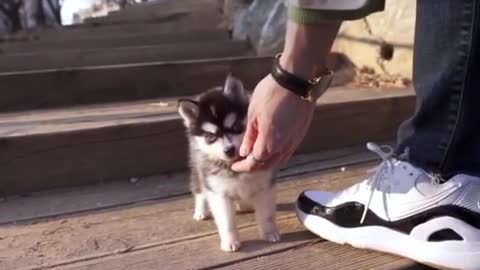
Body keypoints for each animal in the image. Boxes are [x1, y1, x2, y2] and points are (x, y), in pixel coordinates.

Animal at [178, 75, 280, 252]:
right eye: (210, 136)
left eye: (236, 127)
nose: (229, 150)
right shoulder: (218, 192)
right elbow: (226, 221)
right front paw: (230, 241)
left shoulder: (264, 186)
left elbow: (266, 214)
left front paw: (269, 232)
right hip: (197, 170)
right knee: (199, 191)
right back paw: (200, 211)